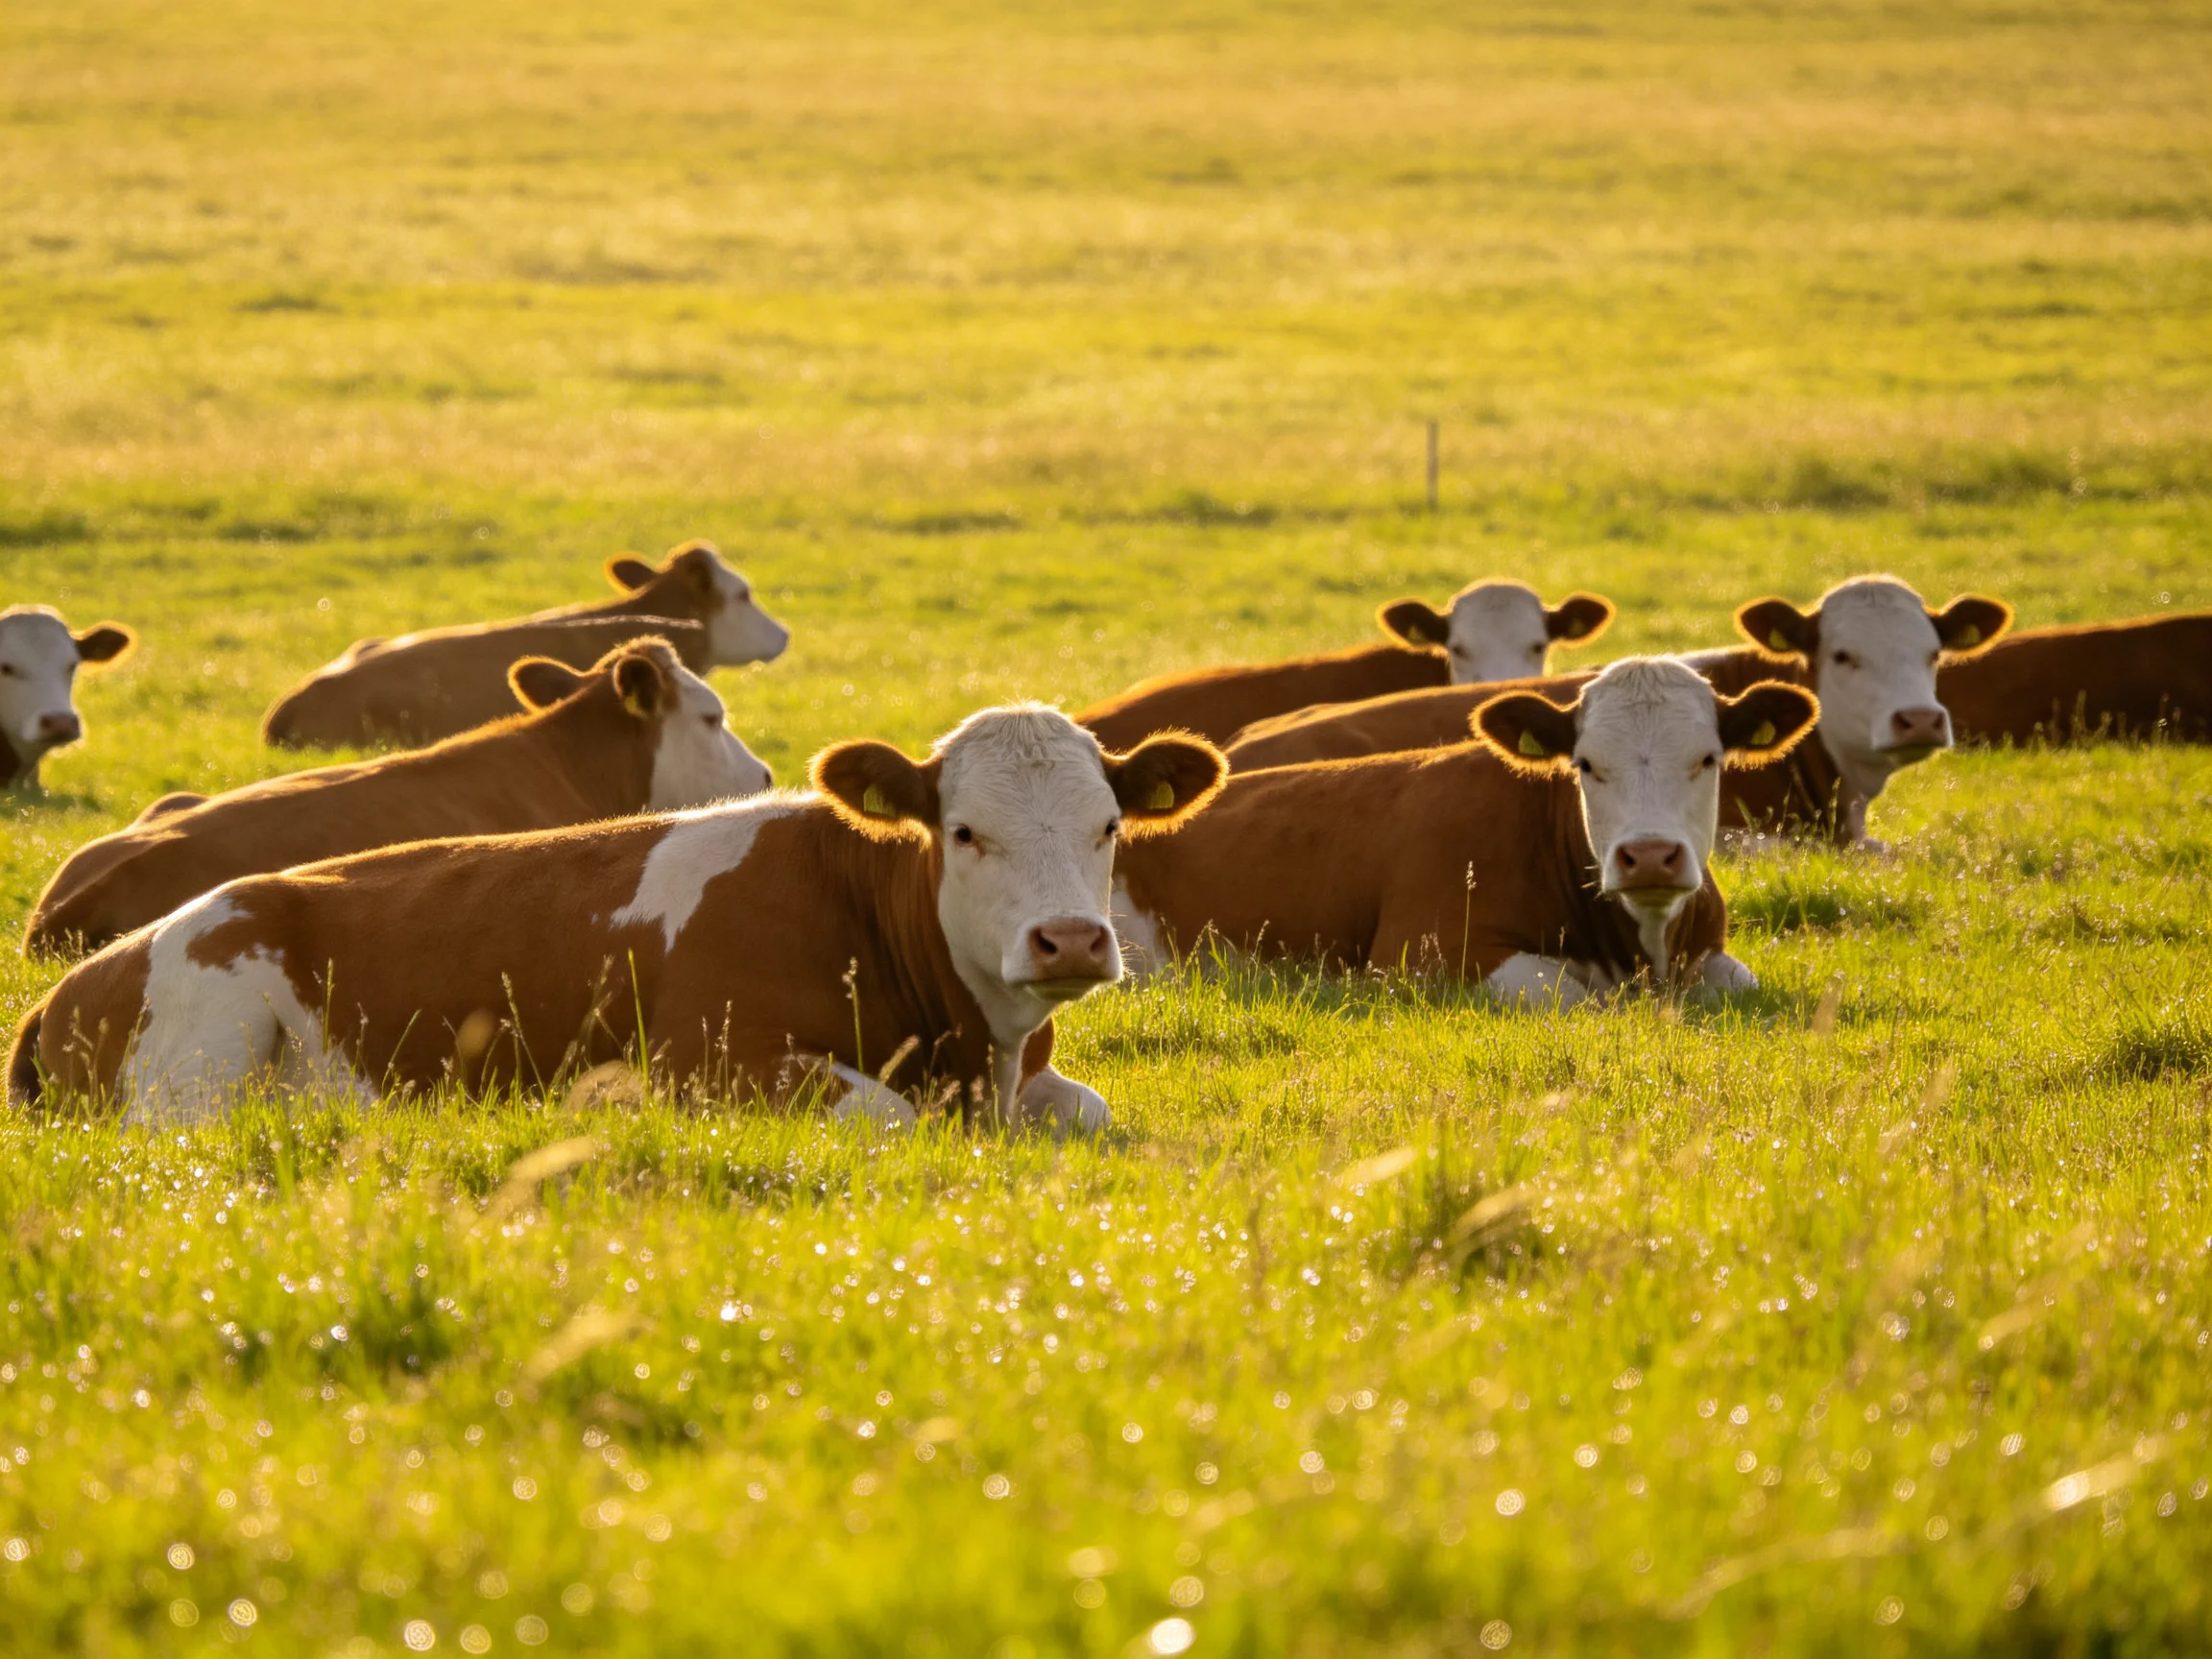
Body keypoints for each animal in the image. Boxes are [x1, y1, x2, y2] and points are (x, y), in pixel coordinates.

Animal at [10, 706, 1226, 1136]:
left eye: (1110, 825)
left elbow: (1093, 1113)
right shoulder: (711, 1059)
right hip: (199, 1056)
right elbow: (888, 1119)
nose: (1069, 941)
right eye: (965, 831)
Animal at [1109, 657, 1819, 1007]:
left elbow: (1741, 982)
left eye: (1708, 758)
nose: (1648, 857)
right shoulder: (1418, 957)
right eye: (1587, 764)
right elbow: (1564, 993)